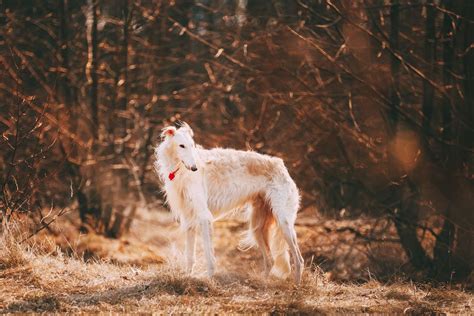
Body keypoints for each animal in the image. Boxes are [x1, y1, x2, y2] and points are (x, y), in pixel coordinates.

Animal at [156, 122, 304, 282]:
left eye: (192, 145)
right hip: (257, 227)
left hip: (284, 223)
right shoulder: (189, 219)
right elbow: (190, 257)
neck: (180, 170)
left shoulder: (204, 217)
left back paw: (296, 285)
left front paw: (209, 279)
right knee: (270, 260)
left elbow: (209, 255)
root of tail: (282, 166)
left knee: (299, 259)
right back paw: (263, 282)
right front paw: (187, 277)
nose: (194, 168)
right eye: (181, 146)